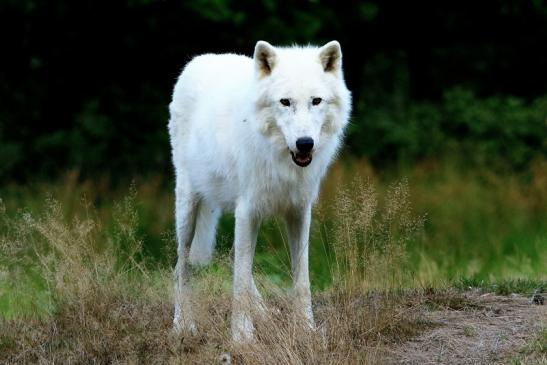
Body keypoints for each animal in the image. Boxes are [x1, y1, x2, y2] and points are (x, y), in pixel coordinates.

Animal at [169, 40, 354, 342]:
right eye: (285, 102)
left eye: (316, 101)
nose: (305, 143)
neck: (280, 158)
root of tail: (198, 60)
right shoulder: (247, 211)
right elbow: (240, 282)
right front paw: (242, 336)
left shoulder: (299, 212)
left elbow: (302, 279)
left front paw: (307, 328)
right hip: (188, 205)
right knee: (181, 266)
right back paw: (183, 325)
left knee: (233, 258)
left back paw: (265, 313)